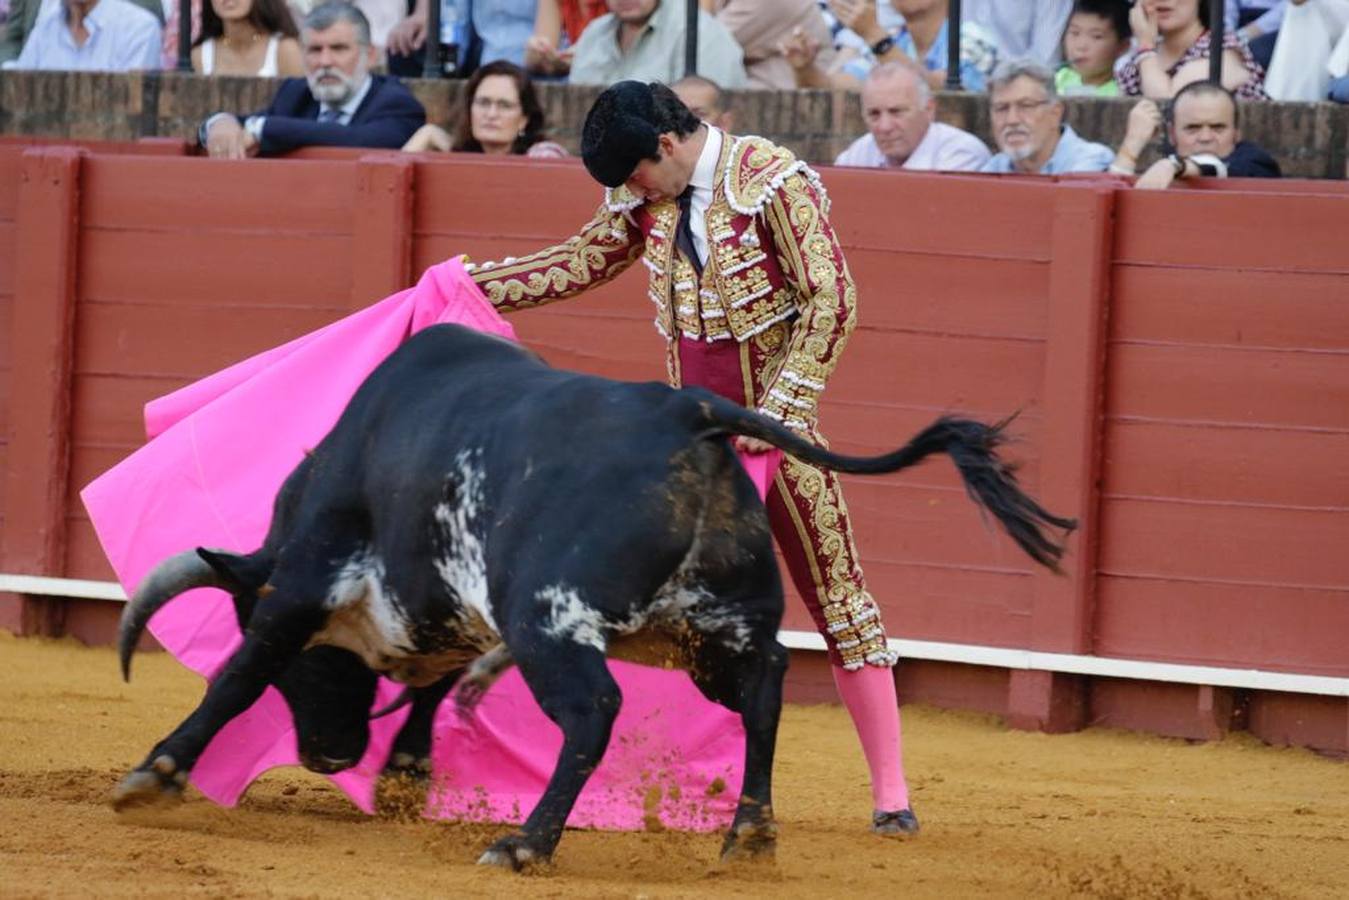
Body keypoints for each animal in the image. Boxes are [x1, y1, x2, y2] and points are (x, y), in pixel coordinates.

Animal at [110, 322, 1068, 863]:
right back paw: (747, 832)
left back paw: (527, 843)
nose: (329, 758)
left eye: (307, 672)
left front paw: (152, 774)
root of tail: (686, 412)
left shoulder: (307, 580)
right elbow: (428, 690)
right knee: (764, 690)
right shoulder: (446, 612)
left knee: (595, 710)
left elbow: (238, 672)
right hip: (715, 627)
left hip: (550, 619)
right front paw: (409, 773)